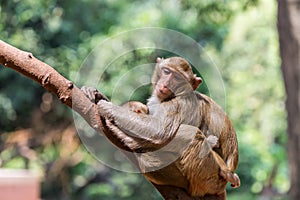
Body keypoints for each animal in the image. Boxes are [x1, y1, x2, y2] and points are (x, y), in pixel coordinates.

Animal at [81, 56, 240, 197]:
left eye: (178, 78)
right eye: (167, 72)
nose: (165, 85)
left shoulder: (179, 105)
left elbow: (159, 131)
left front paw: (105, 107)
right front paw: (96, 95)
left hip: (209, 179)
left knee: (192, 135)